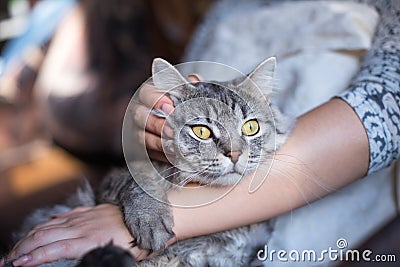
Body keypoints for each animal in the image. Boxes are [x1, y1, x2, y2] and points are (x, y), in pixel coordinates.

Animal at [6, 57, 294, 266]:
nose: (234, 154)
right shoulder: (111, 181)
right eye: (202, 131)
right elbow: (137, 182)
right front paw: (150, 219)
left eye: (251, 128)